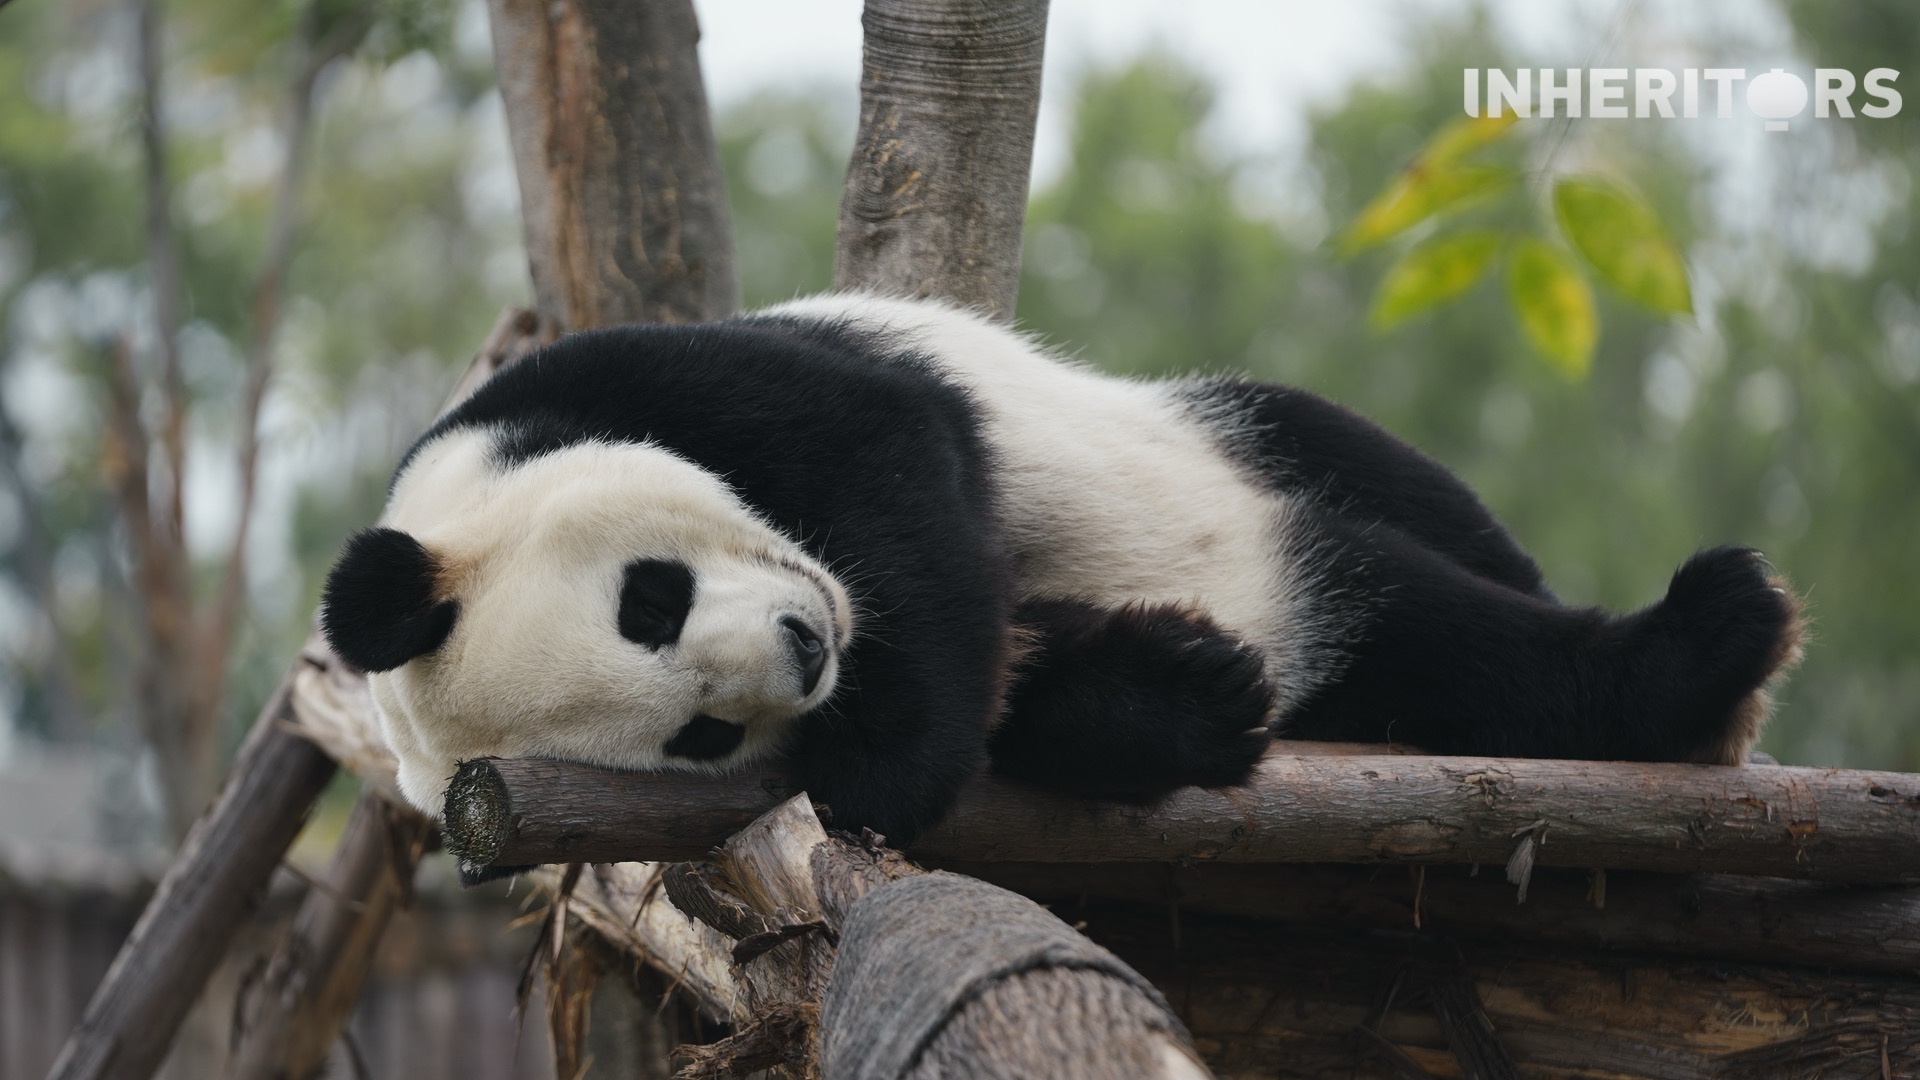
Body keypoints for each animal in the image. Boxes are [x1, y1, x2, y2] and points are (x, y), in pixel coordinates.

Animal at [321, 292, 1804, 846]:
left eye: (649, 599)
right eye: (699, 736)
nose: (805, 650)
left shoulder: (647, 376)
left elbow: (883, 451)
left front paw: (887, 766)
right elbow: (1026, 676)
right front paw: (1185, 695)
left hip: (1223, 437)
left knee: (1400, 561)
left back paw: (1699, 658)